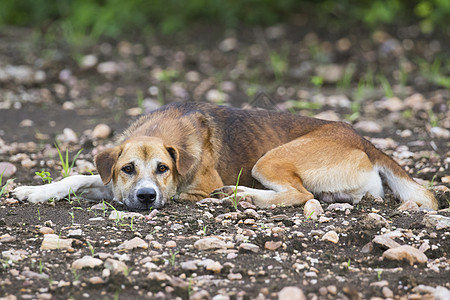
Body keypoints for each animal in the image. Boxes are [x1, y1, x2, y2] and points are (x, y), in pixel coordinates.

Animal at [12, 102, 438, 210]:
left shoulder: (194, 185)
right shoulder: (113, 181)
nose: (146, 197)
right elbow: (81, 177)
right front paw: (34, 192)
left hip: (268, 160)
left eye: (163, 168)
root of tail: (363, 139)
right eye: (128, 168)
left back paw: (241, 196)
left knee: (300, 195)